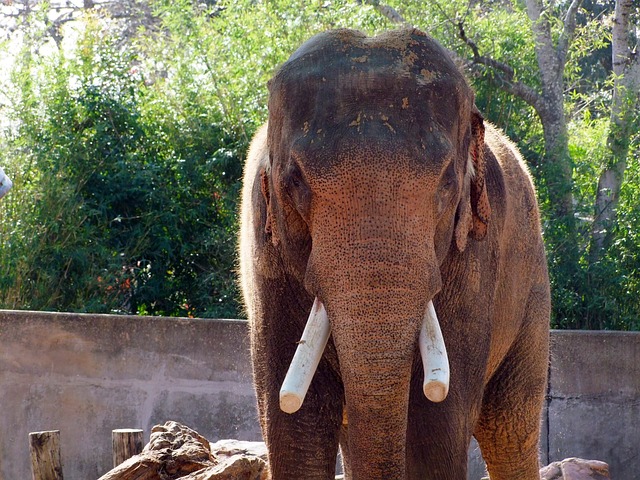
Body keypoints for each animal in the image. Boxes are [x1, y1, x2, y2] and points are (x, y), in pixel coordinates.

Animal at [240, 27, 552, 480]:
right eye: (295, 181)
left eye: (447, 182)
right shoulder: (265, 252)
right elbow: (295, 424)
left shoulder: (475, 260)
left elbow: (435, 423)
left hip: (532, 290)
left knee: (510, 427)